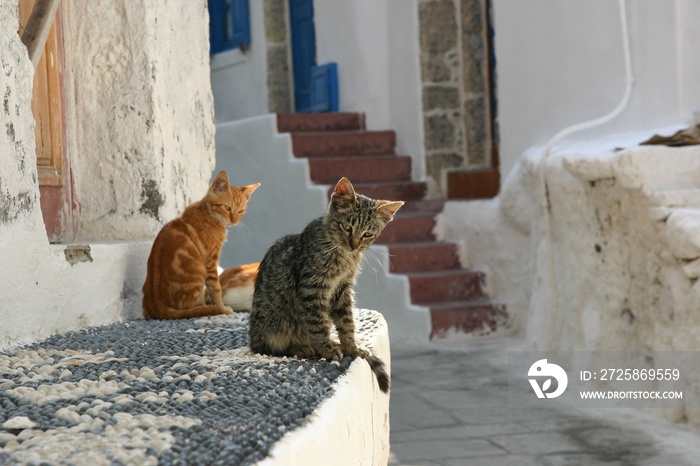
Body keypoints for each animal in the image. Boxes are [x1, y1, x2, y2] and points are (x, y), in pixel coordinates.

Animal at [142, 171, 260, 320]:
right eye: (227, 208)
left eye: (241, 211)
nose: (234, 221)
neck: (207, 212)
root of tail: (158, 305)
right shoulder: (211, 260)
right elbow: (216, 288)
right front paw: (221, 307)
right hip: (198, 268)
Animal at [252, 176, 404, 394]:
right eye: (347, 227)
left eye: (367, 234)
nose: (354, 245)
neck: (343, 255)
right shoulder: (312, 287)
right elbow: (317, 322)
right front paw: (325, 348)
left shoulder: (342, 289)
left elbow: (347, 321)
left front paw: (350, 346)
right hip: (275, 323)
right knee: (270, 347)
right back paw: (300, 347)